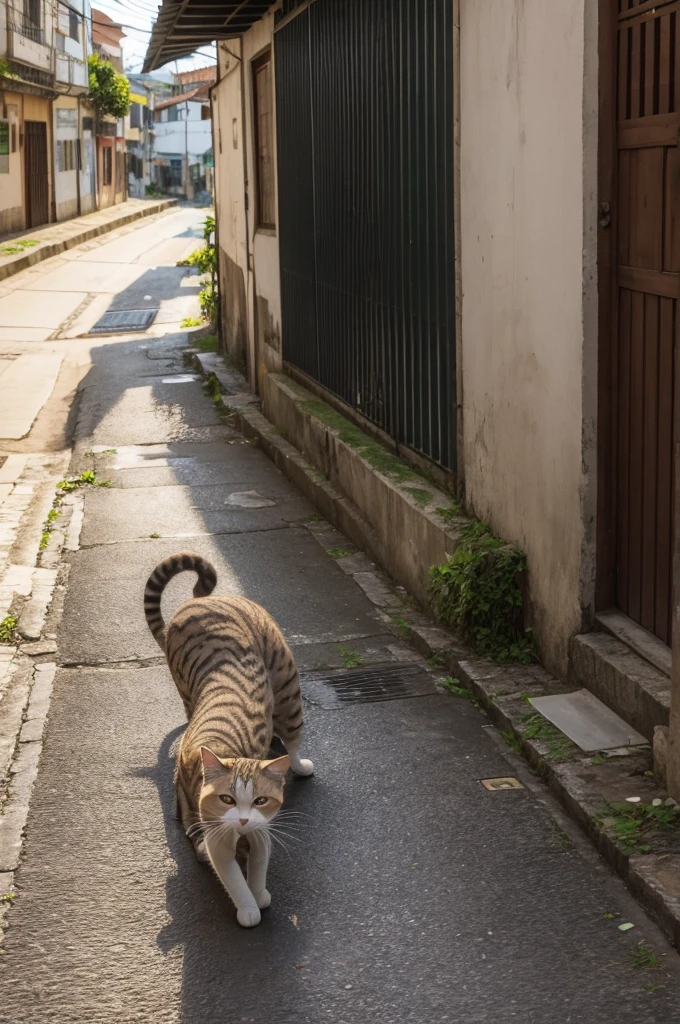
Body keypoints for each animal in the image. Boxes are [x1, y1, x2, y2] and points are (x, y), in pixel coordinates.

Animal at [144, 552, 315, 929]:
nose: (241, 820)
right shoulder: (213, 834)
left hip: (287, 685)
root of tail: (197, 601)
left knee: (294, 739)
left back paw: (298, 764)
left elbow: (257, 865)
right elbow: (233, 875)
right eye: (223, 798)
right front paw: (249, 907)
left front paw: (259, 893)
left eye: (259, 800)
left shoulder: (259, 827)